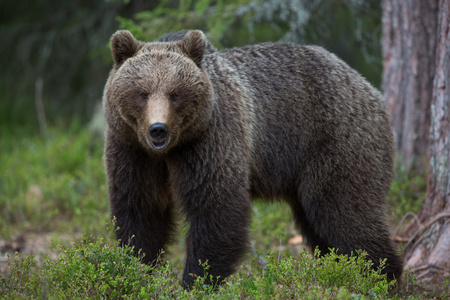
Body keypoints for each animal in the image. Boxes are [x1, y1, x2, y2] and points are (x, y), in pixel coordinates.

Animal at [103, 29, 404, 288]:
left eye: (175, 93)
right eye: (142, 93)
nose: (158, 129)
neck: (170, 151)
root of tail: (368, 87)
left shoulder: (210, 140)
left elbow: (217, 210)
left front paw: (195, 281)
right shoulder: (131, 151)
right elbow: (140, 212)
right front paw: (137, 269)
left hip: (336, 142)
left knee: (346, 211)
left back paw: (381, 276)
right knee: (320, 225)